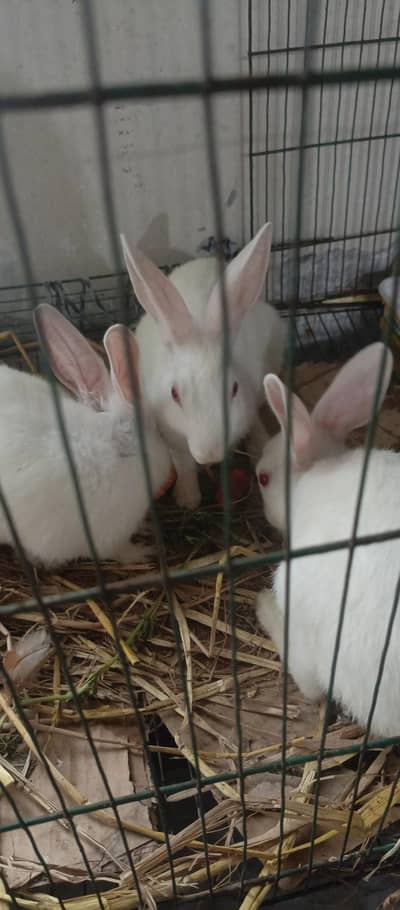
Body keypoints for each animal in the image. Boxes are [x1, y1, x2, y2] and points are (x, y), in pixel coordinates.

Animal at [0, 304, 174, 568]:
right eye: (158, 429)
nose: (170, 470)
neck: (119, 448)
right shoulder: (110, 537)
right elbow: (120, 552)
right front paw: (145, 552)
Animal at [120, 222, 285, 509]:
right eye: (174, 394)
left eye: (234, 389)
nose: (209, 454)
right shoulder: (172, 436)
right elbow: (184, 464)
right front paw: (188, 499)